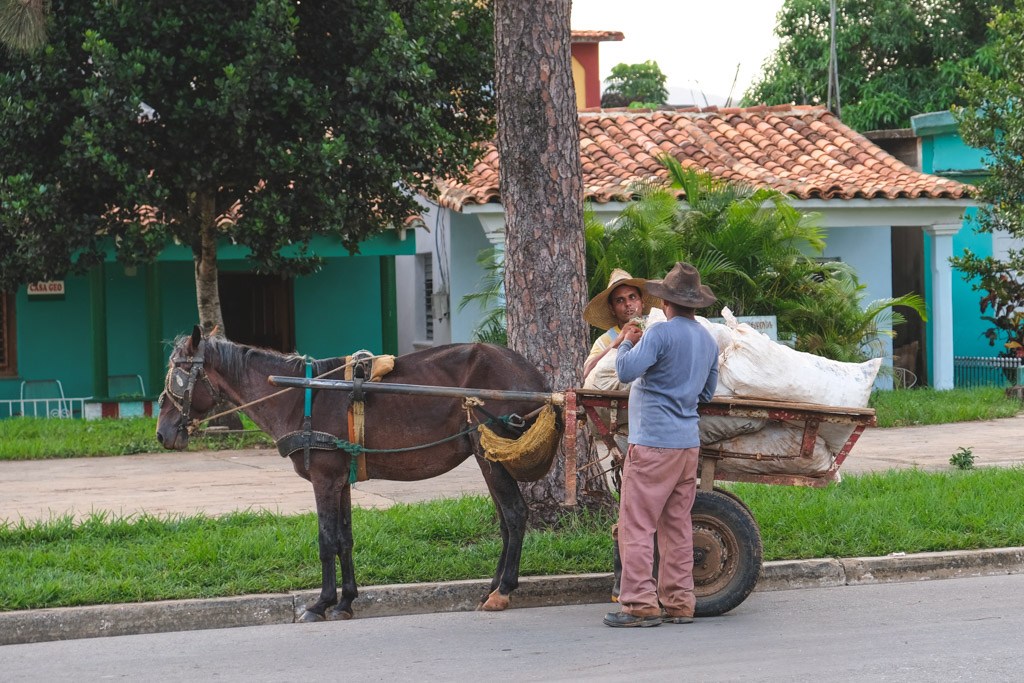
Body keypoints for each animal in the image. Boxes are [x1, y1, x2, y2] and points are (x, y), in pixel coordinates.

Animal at [153, 327, 561, 622]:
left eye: (178, 375)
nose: (162, 432)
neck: (300, 396)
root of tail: (539, 383)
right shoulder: (340, 480)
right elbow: (345, 539)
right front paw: (345, 601)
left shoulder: (324, 479)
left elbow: (325, 541)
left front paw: (320, 603)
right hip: (485, 454)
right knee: (505, 520)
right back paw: (492, 587)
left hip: (492, 451)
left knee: (514, 514)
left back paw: (503, 591)